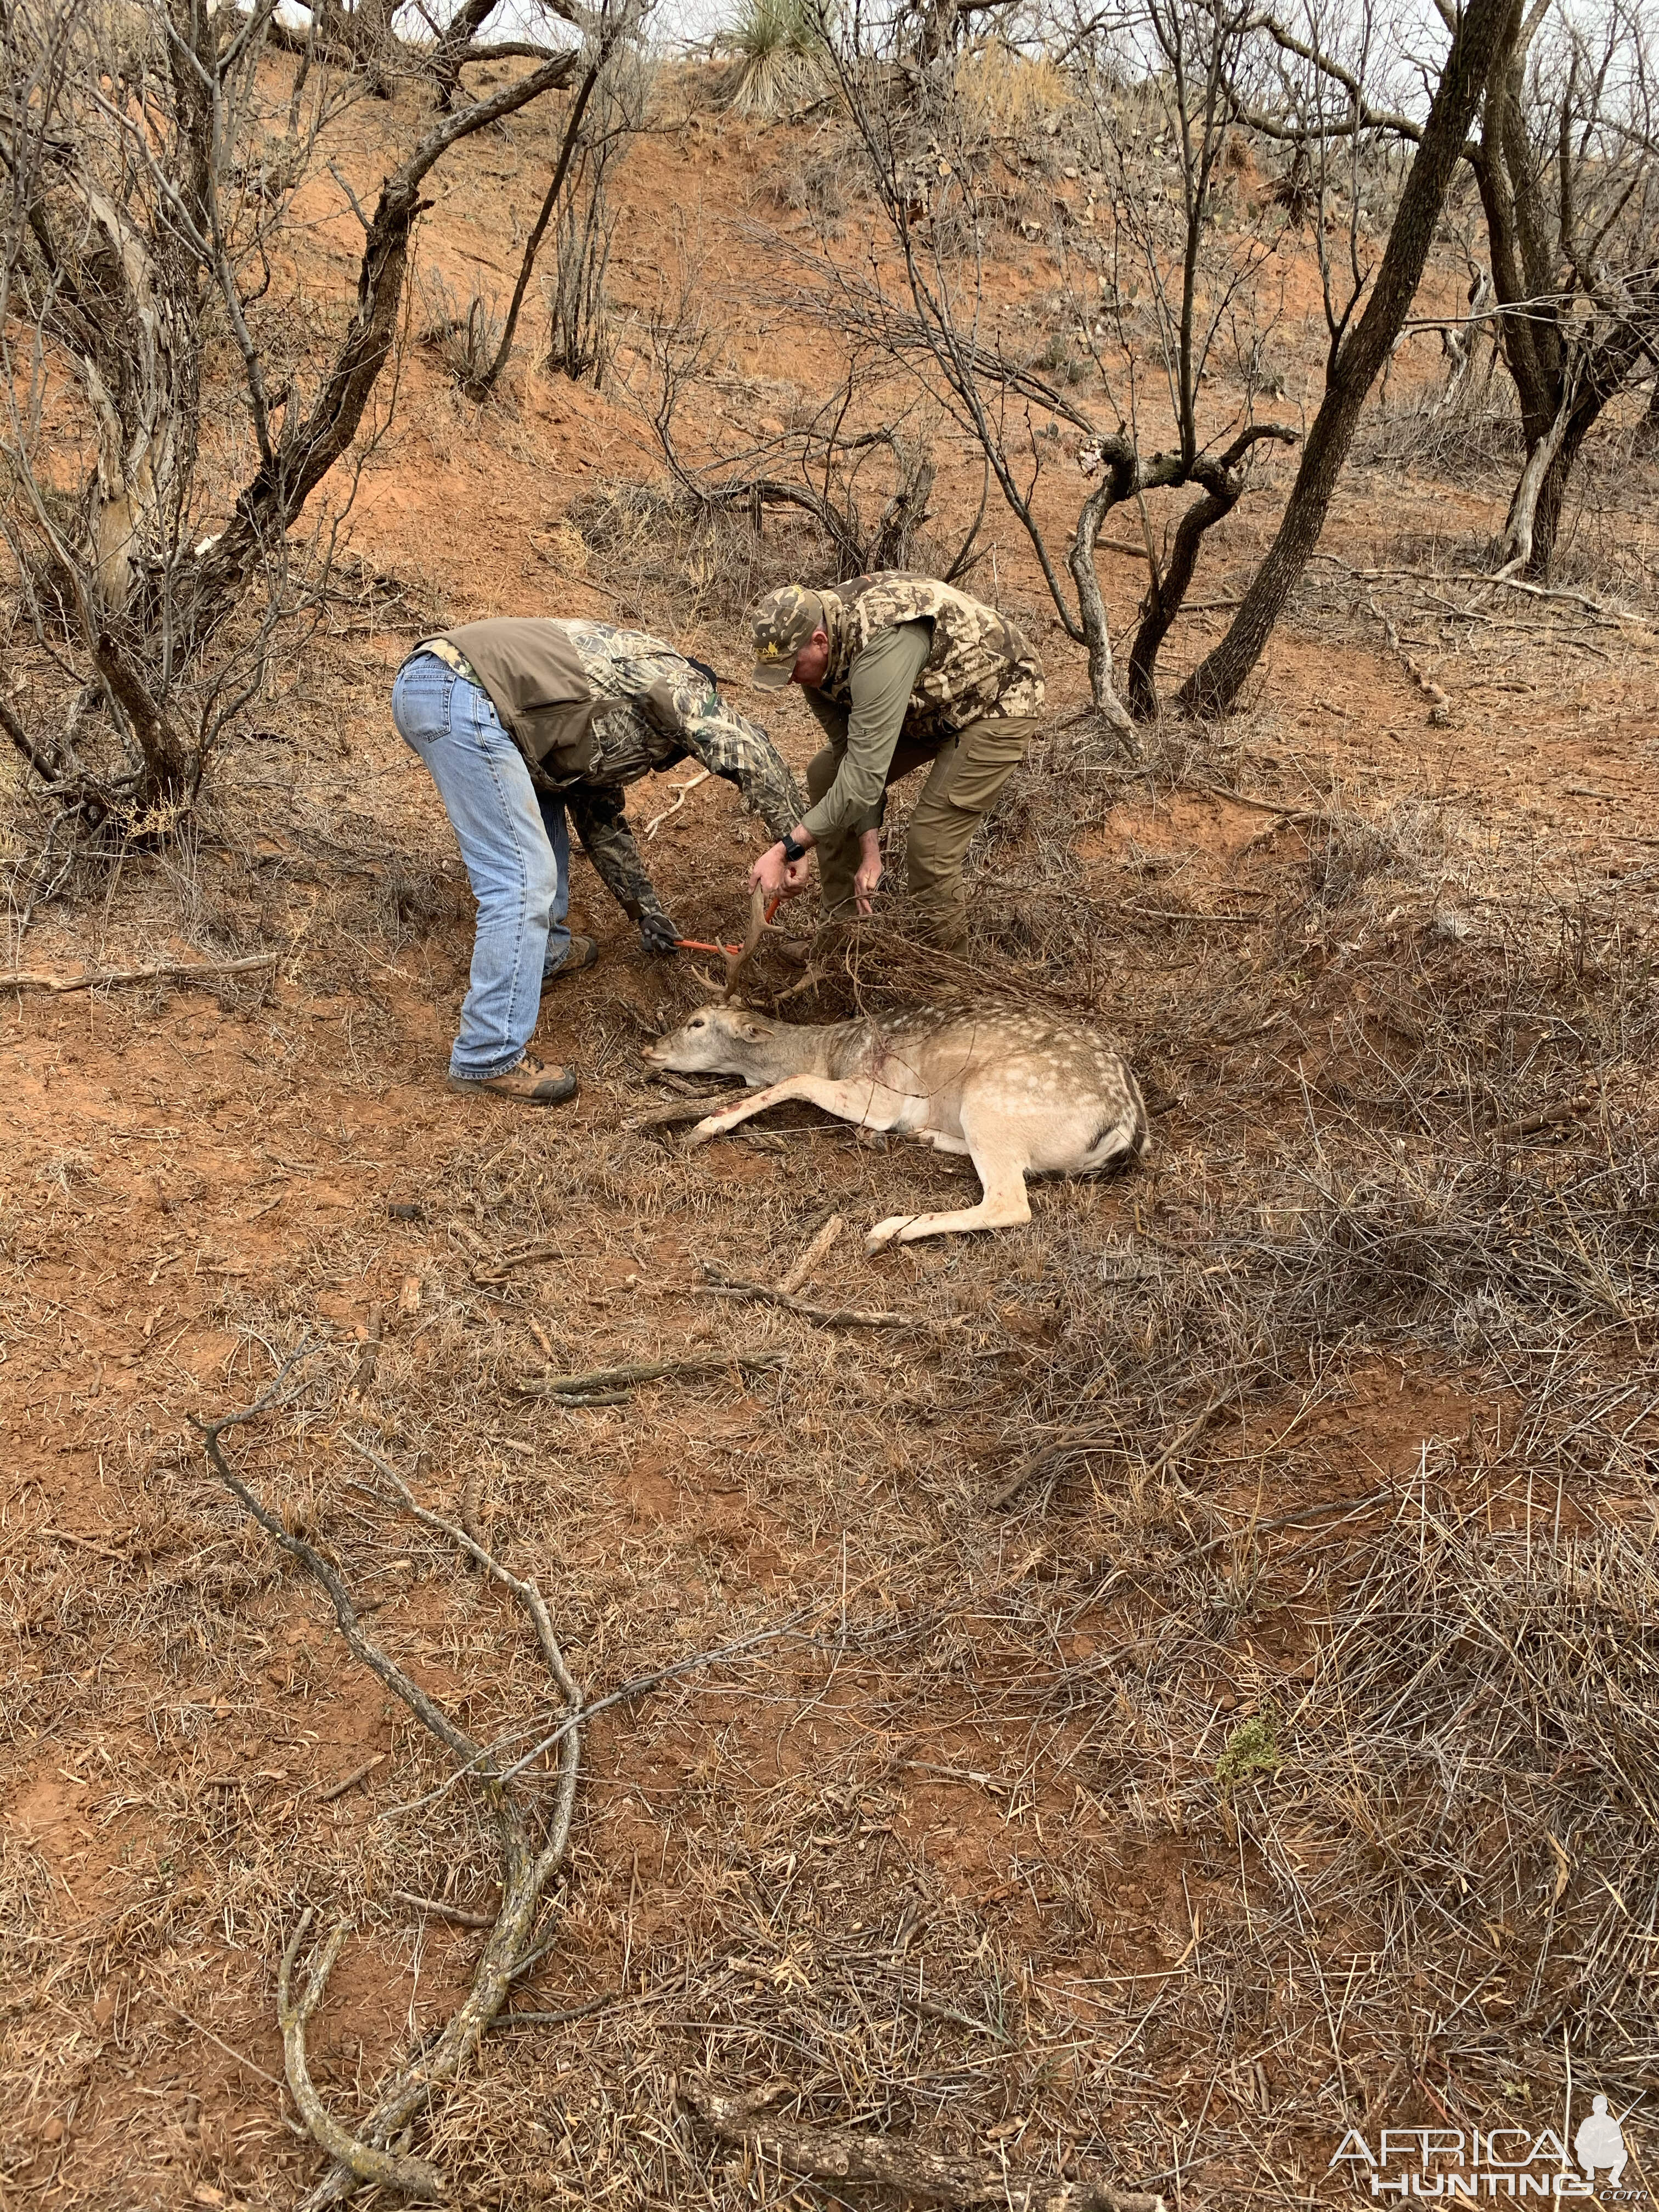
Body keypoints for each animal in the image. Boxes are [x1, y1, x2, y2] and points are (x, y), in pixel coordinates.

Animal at [650, 1000, 1159, 1248]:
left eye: (696, 1022)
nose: (650, 1049)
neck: (831, 1050)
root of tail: (1129, 1130)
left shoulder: (879, 1093)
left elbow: (798, 1080)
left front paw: (708, 1126)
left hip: (993, 1099)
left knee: (1009, 1202)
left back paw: (887, 1231)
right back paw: (925, 1135)